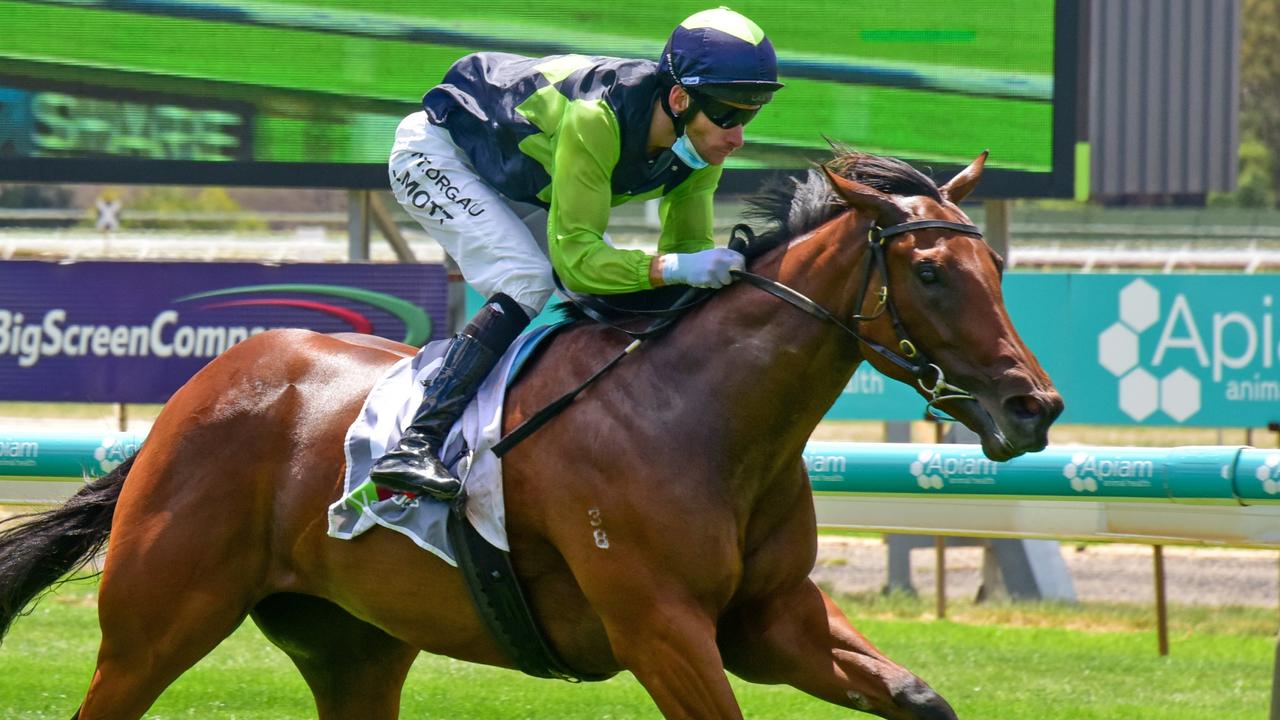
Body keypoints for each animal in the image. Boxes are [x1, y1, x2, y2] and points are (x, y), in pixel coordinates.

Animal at [0, 148, 1059, 712]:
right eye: (930, 272)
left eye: (999, 268)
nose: (1035, 406)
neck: (704, 418)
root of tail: (197, 395)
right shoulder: (661, 627)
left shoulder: (772, 620)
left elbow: (916, 695)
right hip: (155, 627)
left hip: (353, 648)